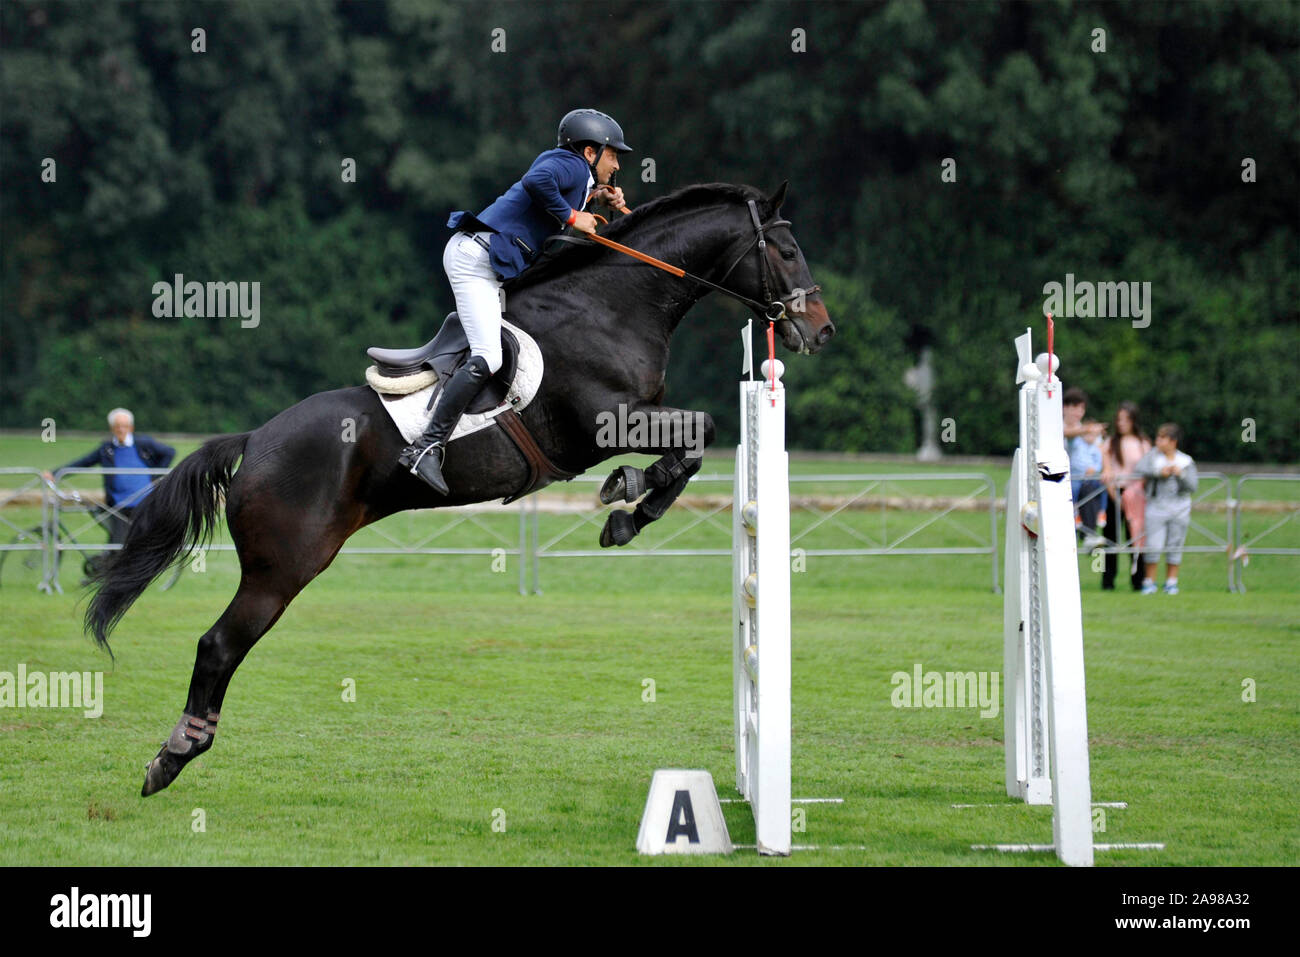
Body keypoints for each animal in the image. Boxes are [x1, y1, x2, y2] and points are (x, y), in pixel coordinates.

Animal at [83, 179, 832, 790]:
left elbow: (696, 438)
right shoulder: (604, 422)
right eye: (788, 249)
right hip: (282, 568)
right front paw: (627, 502)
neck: (613, 304)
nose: (820, 331)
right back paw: (173, 755)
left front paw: (627, 500)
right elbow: (699, 432)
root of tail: (254, 442)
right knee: (219, 646)